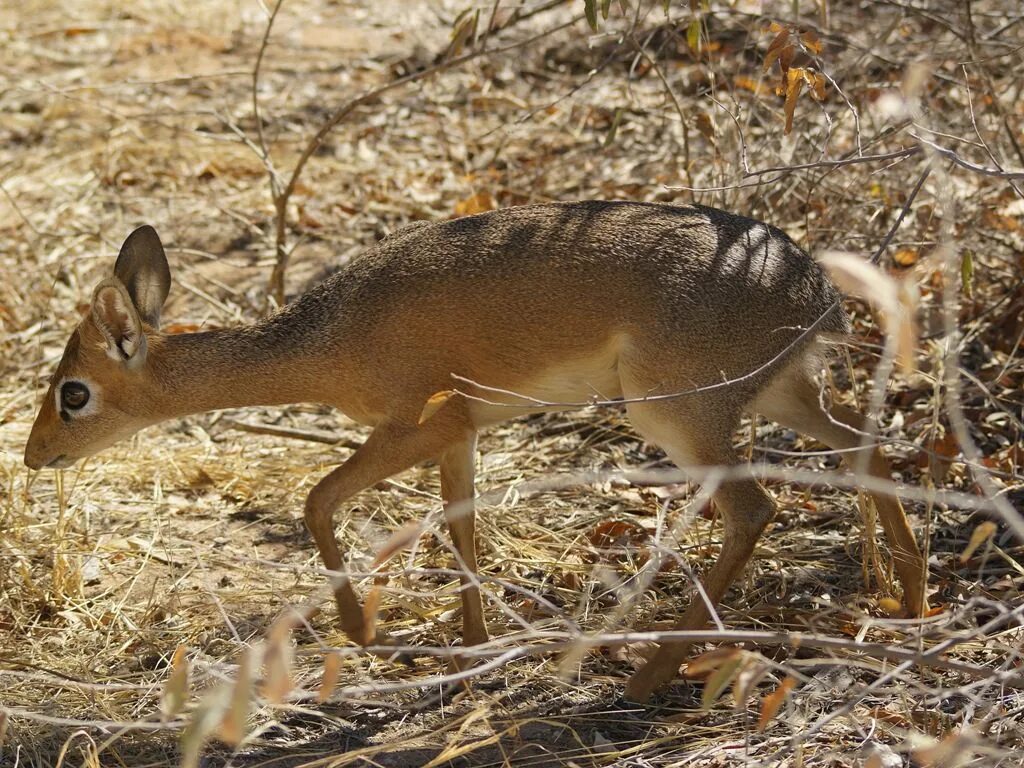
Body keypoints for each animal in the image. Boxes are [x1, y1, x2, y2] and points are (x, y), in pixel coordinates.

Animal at [24, 202, 929, 704]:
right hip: (780, 396)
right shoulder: (462, 432)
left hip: (675, 415)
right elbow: (460, 527)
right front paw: (468, 646)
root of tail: (816, 288)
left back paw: (646, 676)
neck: (327, 339)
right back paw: (910, 603)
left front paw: (362, 630)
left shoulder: (419, 423)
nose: (34, 457)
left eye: (73, 392)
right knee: (869, 444)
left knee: (757, 506)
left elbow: (317, 496)